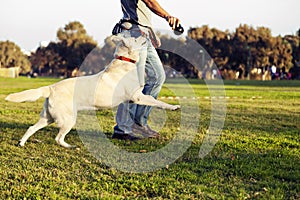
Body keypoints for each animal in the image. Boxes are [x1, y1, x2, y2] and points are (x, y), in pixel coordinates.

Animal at [5, 34, 179, 148]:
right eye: (135, 38)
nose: (145, 34)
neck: (125, 62)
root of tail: (51, 87)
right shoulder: (137, 97)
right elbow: (157, 101)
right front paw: (174, 107)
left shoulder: (133, 99)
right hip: (68, 119)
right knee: (58, 138)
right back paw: (69, 146)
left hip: (48, 117)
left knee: (31, 128)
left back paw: (21, 143)